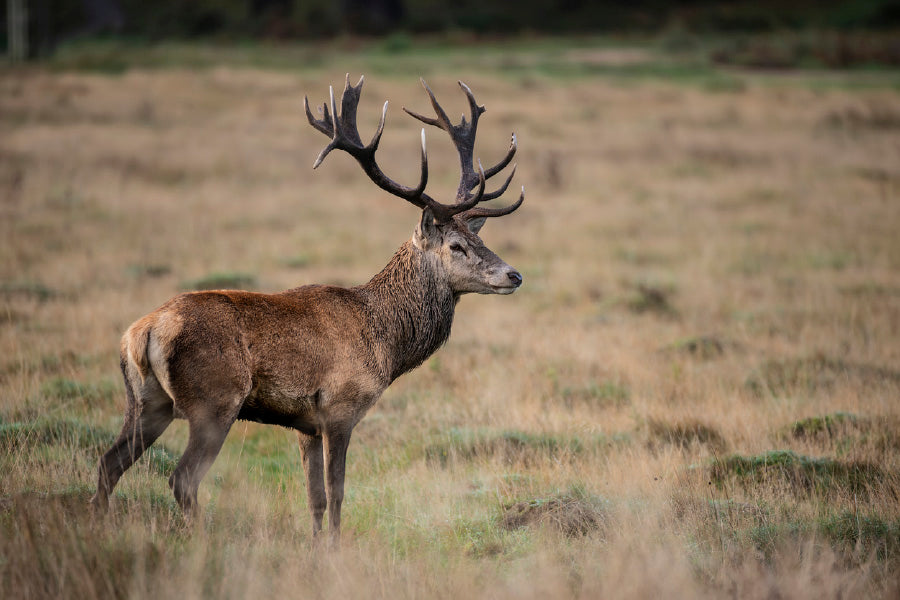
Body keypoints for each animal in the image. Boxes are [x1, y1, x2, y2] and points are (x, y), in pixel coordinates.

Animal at [88, 72, 524, 540]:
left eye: (480, 238)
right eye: (457, 245)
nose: (513, 275)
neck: (385, 342)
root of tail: (143, 331)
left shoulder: (305, 425)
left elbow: (313, 498)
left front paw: (317, 547)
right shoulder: (340, 408)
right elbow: (336, 493)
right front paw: (336, 548)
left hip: (146, 401)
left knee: (108, 464)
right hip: (213, 401)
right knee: (182, 477)